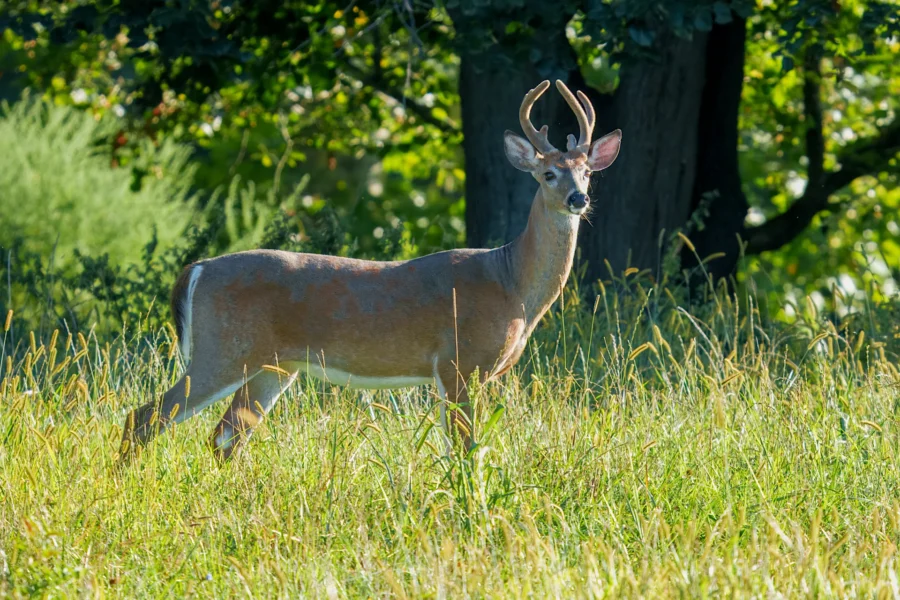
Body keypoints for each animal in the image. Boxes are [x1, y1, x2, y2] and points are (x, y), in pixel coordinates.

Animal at [118, 80, 621, 462]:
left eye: (587, 173)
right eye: (548, 174)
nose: (579, 199)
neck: (511, 282)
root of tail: (196, 269)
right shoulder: (460, 361)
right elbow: (466, 448)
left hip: (272, 367)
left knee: (225, 435)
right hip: (221, 350)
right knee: (145, 417)